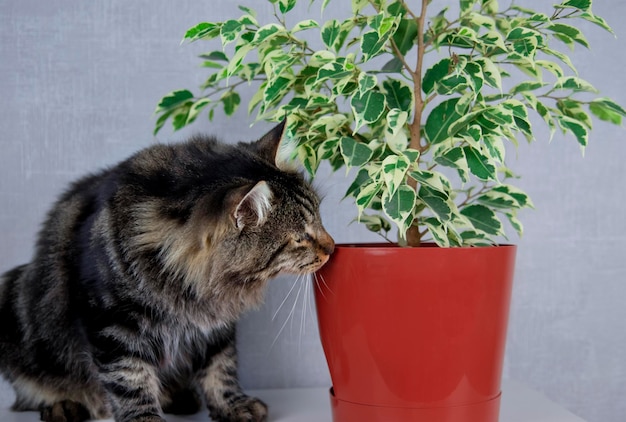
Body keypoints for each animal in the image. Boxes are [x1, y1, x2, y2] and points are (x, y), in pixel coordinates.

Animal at [0, 119, 334, 422]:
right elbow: (130, 380)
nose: (332, 248)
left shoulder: (216, 323)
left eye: (320, 217)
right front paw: (145, 419)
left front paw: (232, 405)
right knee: (33, 393)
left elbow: (221, 367)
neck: (183, 286)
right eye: (300, 238)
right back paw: (64, 406)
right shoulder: (111, 326)